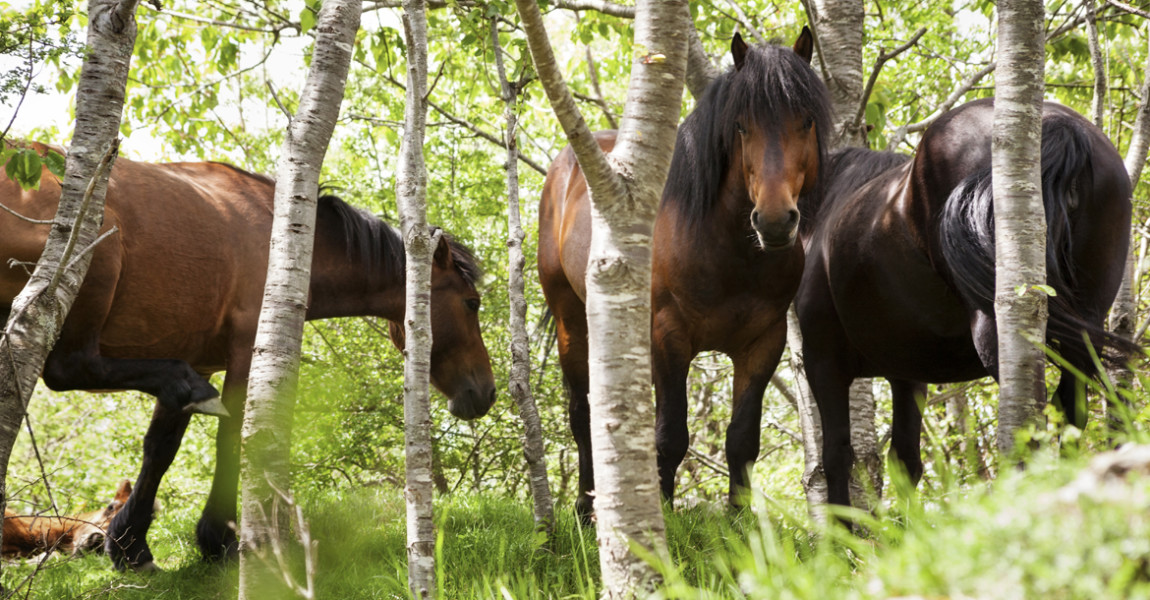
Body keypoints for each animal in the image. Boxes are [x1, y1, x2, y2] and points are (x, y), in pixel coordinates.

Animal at [538, 29, 837, 517]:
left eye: (806, 120)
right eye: (741, 125)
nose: (775, 221)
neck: (728, 252)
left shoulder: (763, 343)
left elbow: (741, 439)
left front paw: (741, 522)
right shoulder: (669, 336)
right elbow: (671, 437)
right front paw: (663, 521)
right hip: (569, 319)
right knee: (582, 416)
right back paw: (584, 509)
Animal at [795, 97, 1136, 503]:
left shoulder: (823, 362)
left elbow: (836, 457)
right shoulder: (906, 374)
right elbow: (904, 462)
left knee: (1030, 422)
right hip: (1086, 325)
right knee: (1070, 411)